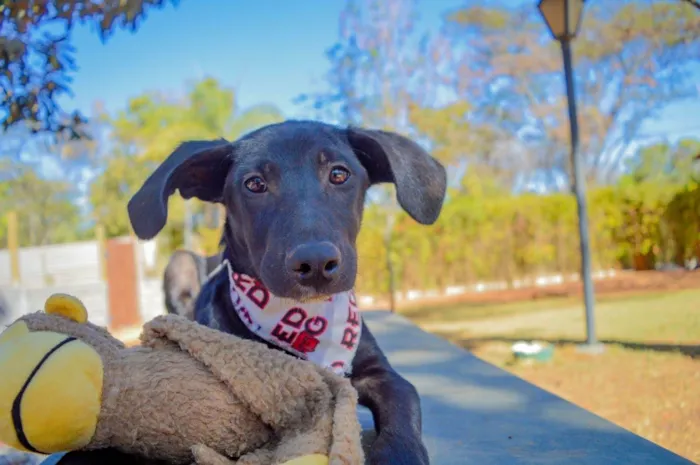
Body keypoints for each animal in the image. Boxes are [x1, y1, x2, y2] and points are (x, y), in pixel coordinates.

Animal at [129, 120, 448, 464]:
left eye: (339, 174)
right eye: (255, 184)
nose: (316, 262)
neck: (304, 321)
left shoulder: (380, 373)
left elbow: (404, 401)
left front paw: (400, 453)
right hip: (181, 260)